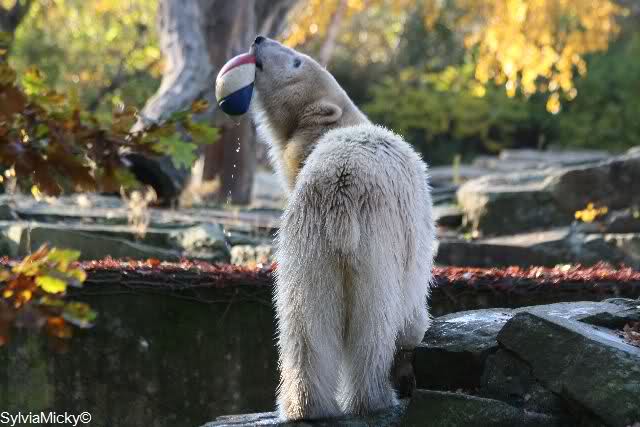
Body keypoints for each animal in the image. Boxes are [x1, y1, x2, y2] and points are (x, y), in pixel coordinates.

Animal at [250, 36, 437, 420]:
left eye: (296, 60)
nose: (259, 39)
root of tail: (340, 189)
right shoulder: (414, 231)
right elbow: (413, 302)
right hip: (376, 246)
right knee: (374, 324)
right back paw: (375, 398)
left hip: (306, 249)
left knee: (304, 328)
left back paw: (305, 406)